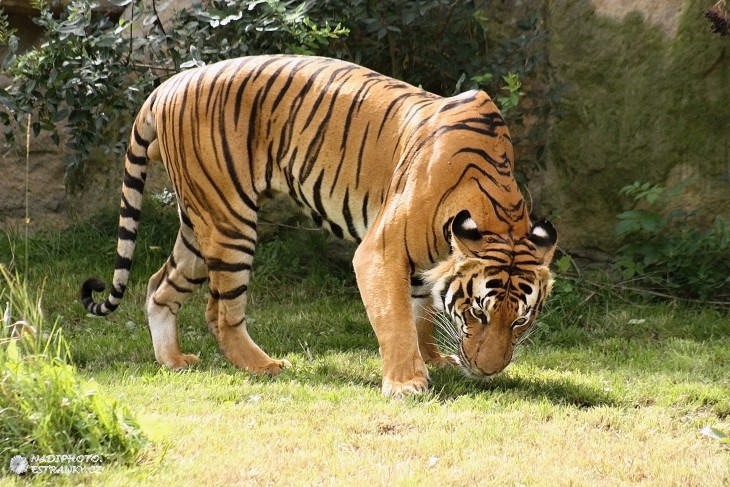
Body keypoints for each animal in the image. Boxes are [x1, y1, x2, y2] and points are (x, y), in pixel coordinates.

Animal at [79, 55, 556, 398]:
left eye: (519, 322)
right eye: (479, 312)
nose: (487, 371)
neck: (499, 213)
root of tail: (166, 85)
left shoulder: (425, 265)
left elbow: (420, 312)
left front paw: (435, 359)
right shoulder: (381, 251)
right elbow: (396, 318)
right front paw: (407, 383)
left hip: (200, 224)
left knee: (158, 286)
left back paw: (174, 361)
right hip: (231, 222)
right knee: (221, 313)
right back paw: (265, 365)